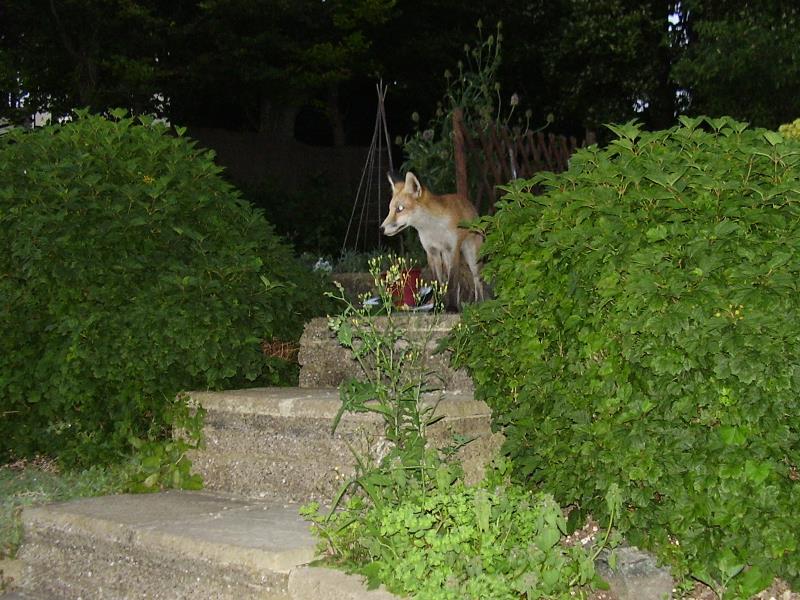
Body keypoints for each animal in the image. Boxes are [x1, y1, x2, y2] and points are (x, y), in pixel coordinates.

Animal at [380, 171, 484, 306]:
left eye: (400, 209)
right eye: (390, 209)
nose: (381, 229)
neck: (433, 230)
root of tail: (469, 204)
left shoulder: (452, 250)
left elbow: (452, 285)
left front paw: (451, 308)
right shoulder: (431, 252)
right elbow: (438, 284)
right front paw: (438, 306)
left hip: (471, 256)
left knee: (477, 281)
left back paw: (480, 303)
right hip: (445, 258)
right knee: (458, 285)